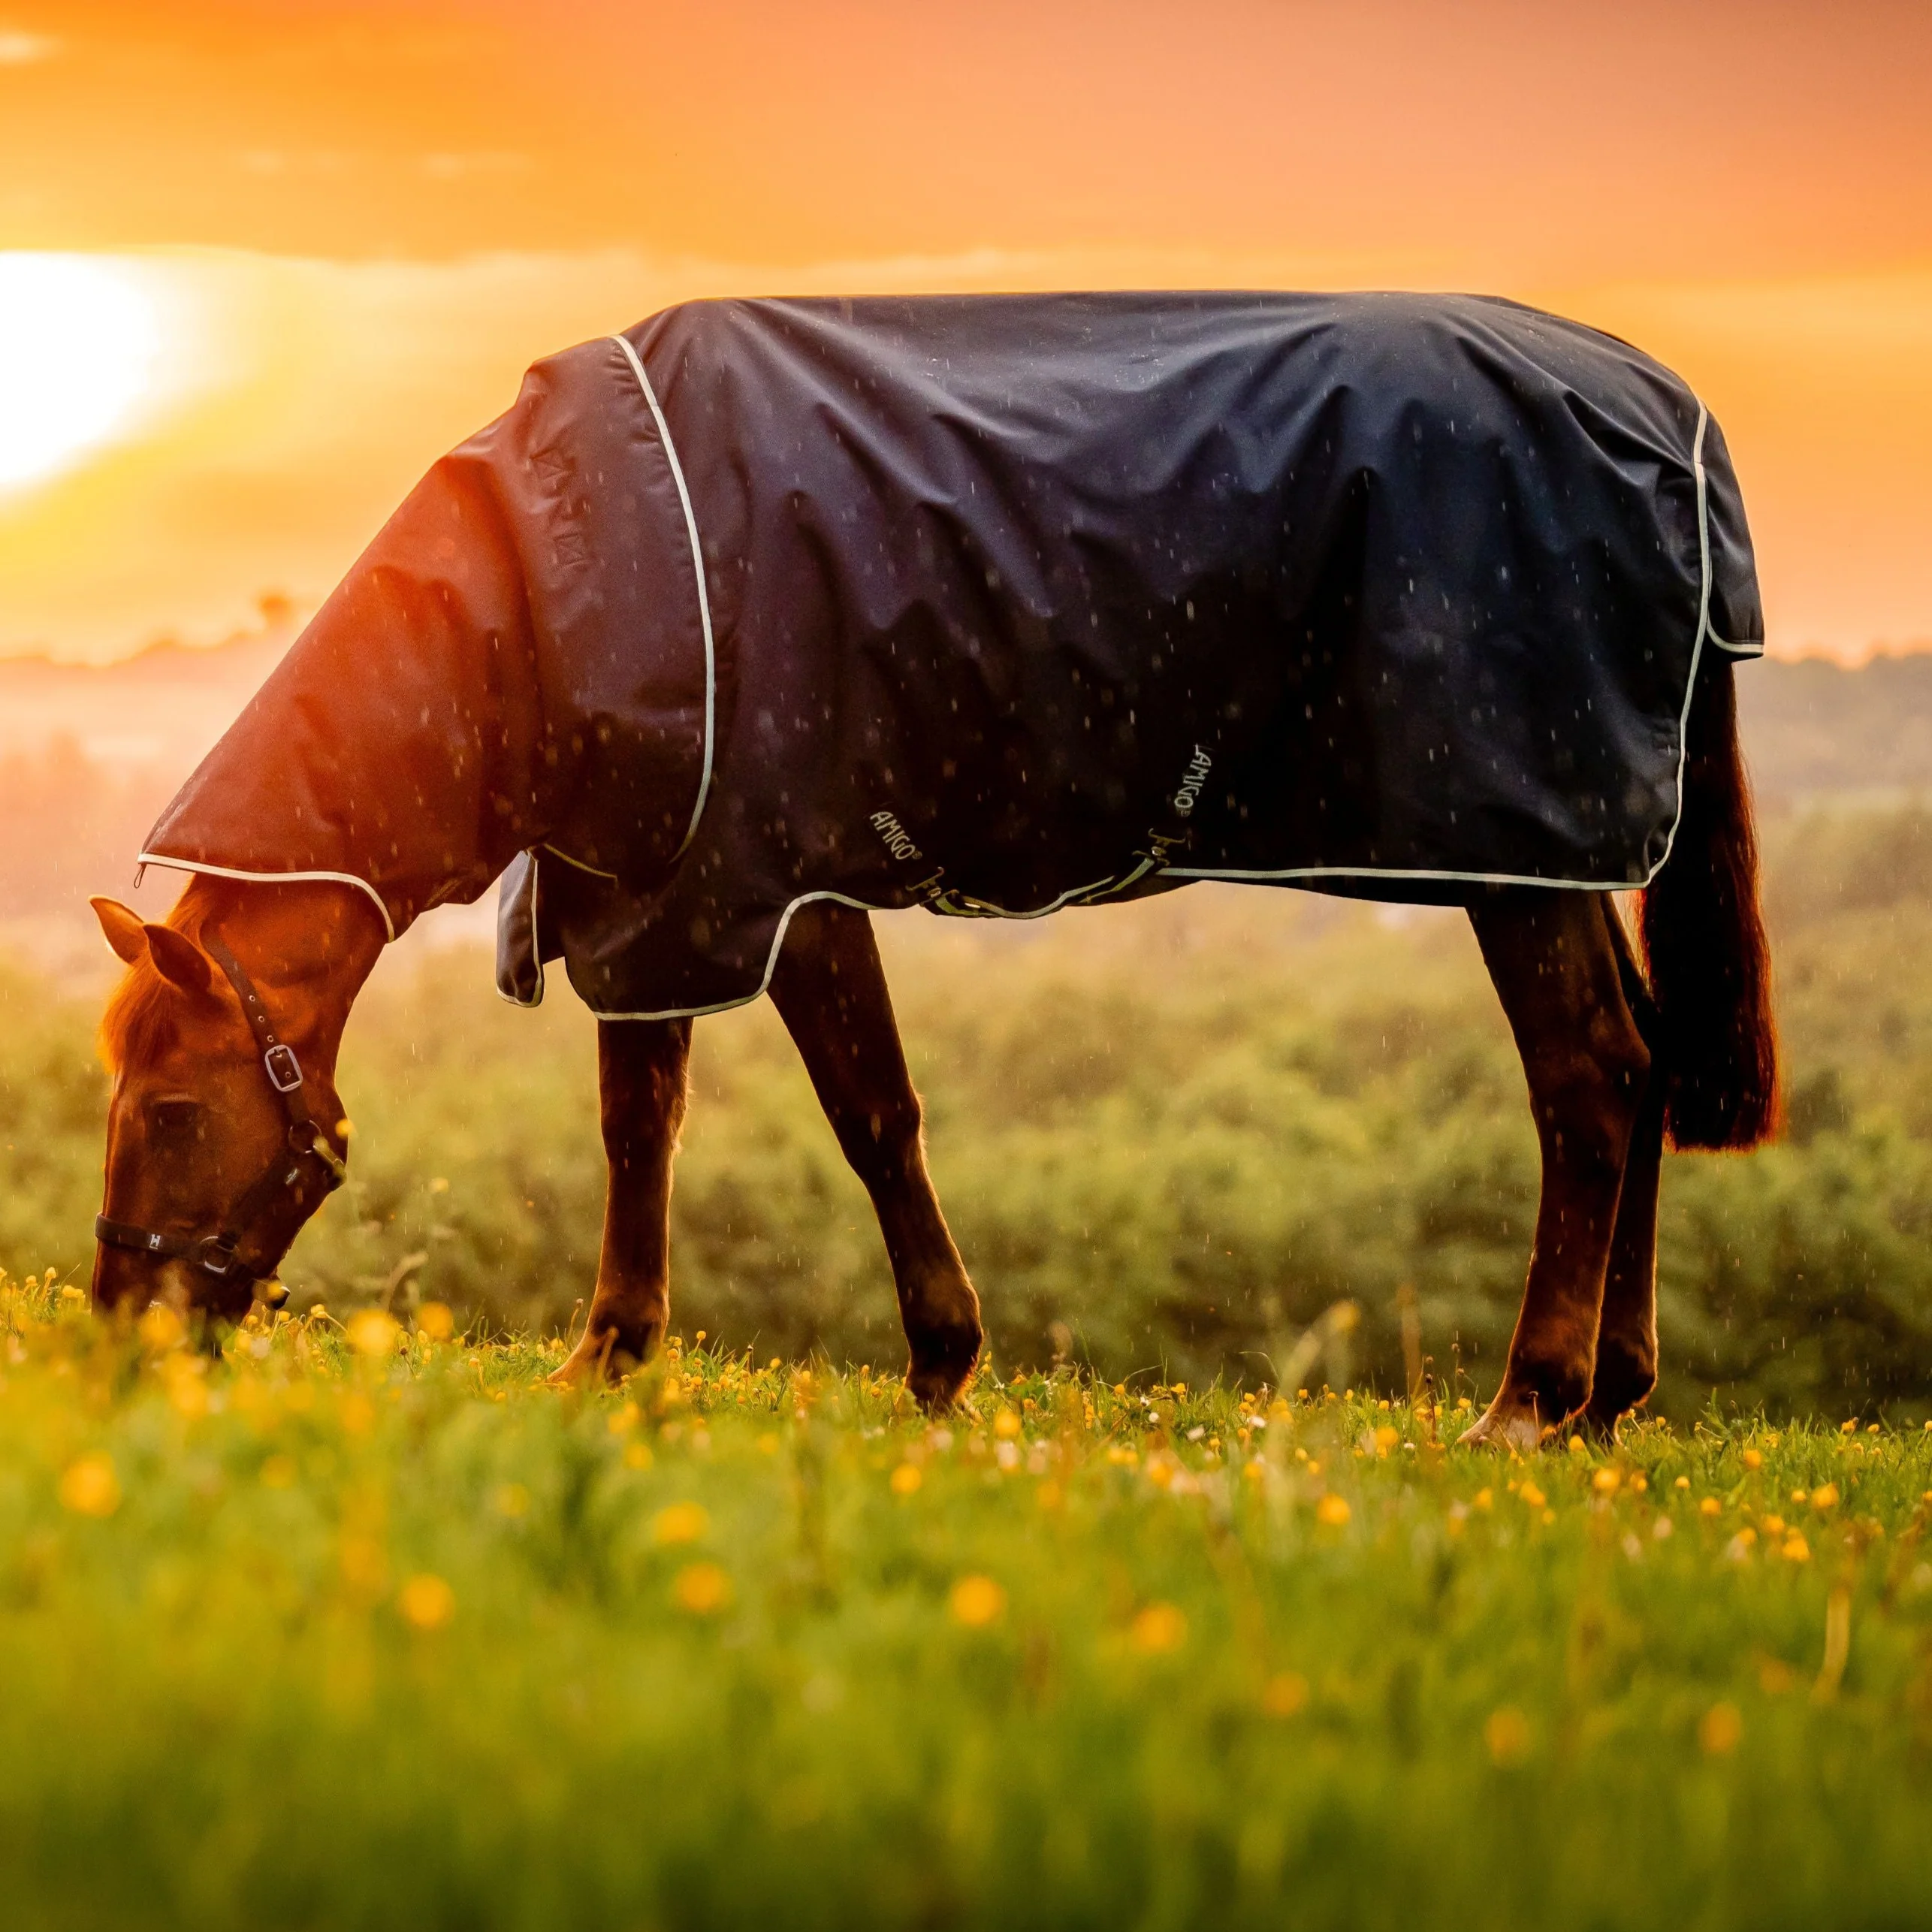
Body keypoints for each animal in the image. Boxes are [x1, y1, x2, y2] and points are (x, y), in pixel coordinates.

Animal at [89, 291, 1778, 1449]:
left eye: (167, 1109)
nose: (119, 1331)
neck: (550, 579)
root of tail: (1670, 415)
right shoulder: (657, 894)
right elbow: (641, 1126)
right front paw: (611, 1355)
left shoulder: (770, 880)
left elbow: (871, 1115)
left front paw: (941, 1361)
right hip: (1561, 857)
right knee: (1640, 1058)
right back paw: (1607, 1398)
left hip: (1517, 848)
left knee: (1586, 1075)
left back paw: (1528, 1398)